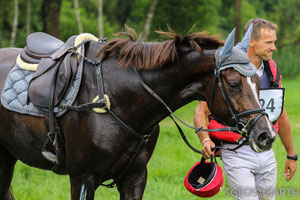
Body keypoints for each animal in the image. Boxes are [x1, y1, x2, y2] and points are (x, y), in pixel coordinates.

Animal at [0, 25, 276, 199]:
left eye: (257, 80)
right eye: (234, 84)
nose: (266, 135)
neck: (116, 97)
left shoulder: (135, 178)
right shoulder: (82, 178)